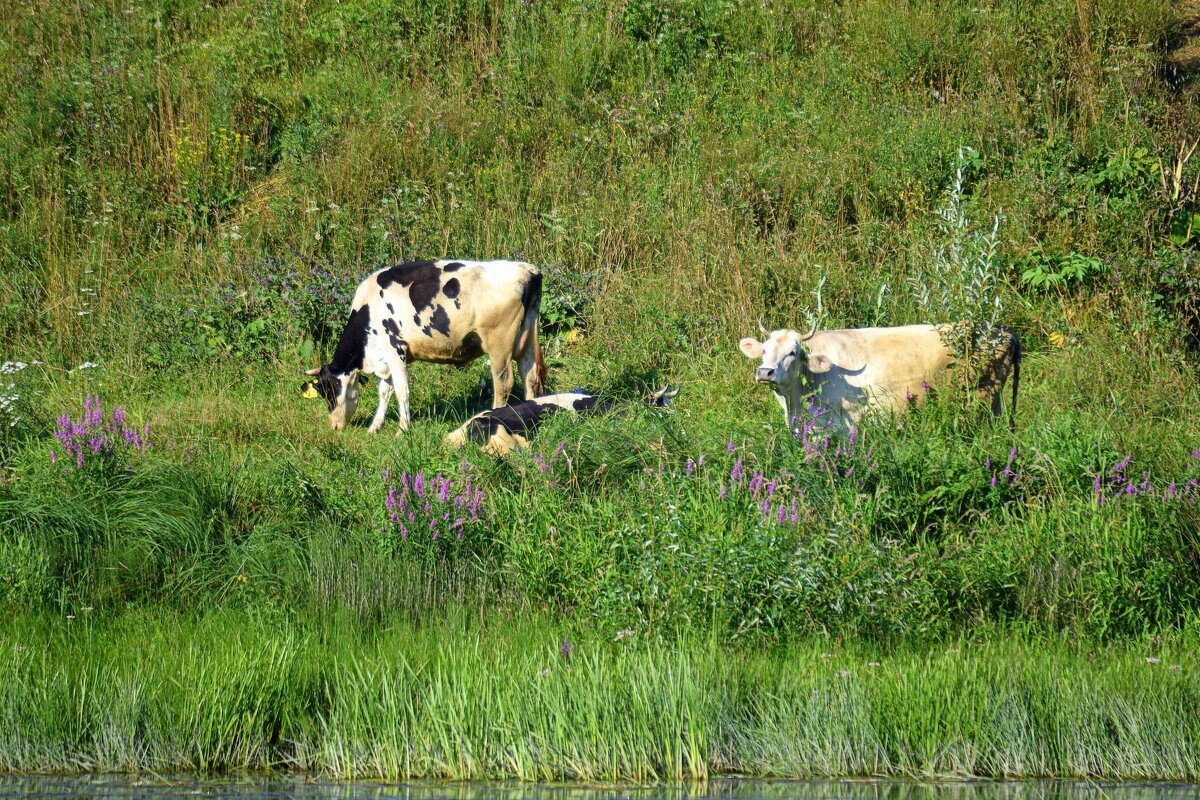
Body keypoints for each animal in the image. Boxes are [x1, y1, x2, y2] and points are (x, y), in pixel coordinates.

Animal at [302, 260, 547, 434]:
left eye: (330, 391)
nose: (334, 426)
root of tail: (527, 269)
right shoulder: (385, 358)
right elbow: (384, 391)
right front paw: (374, 427)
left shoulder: (395, 349)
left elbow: (401, 391)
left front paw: (402, 430)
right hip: (525, 342)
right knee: (529, 378)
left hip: (499, 344)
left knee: (503, 383)